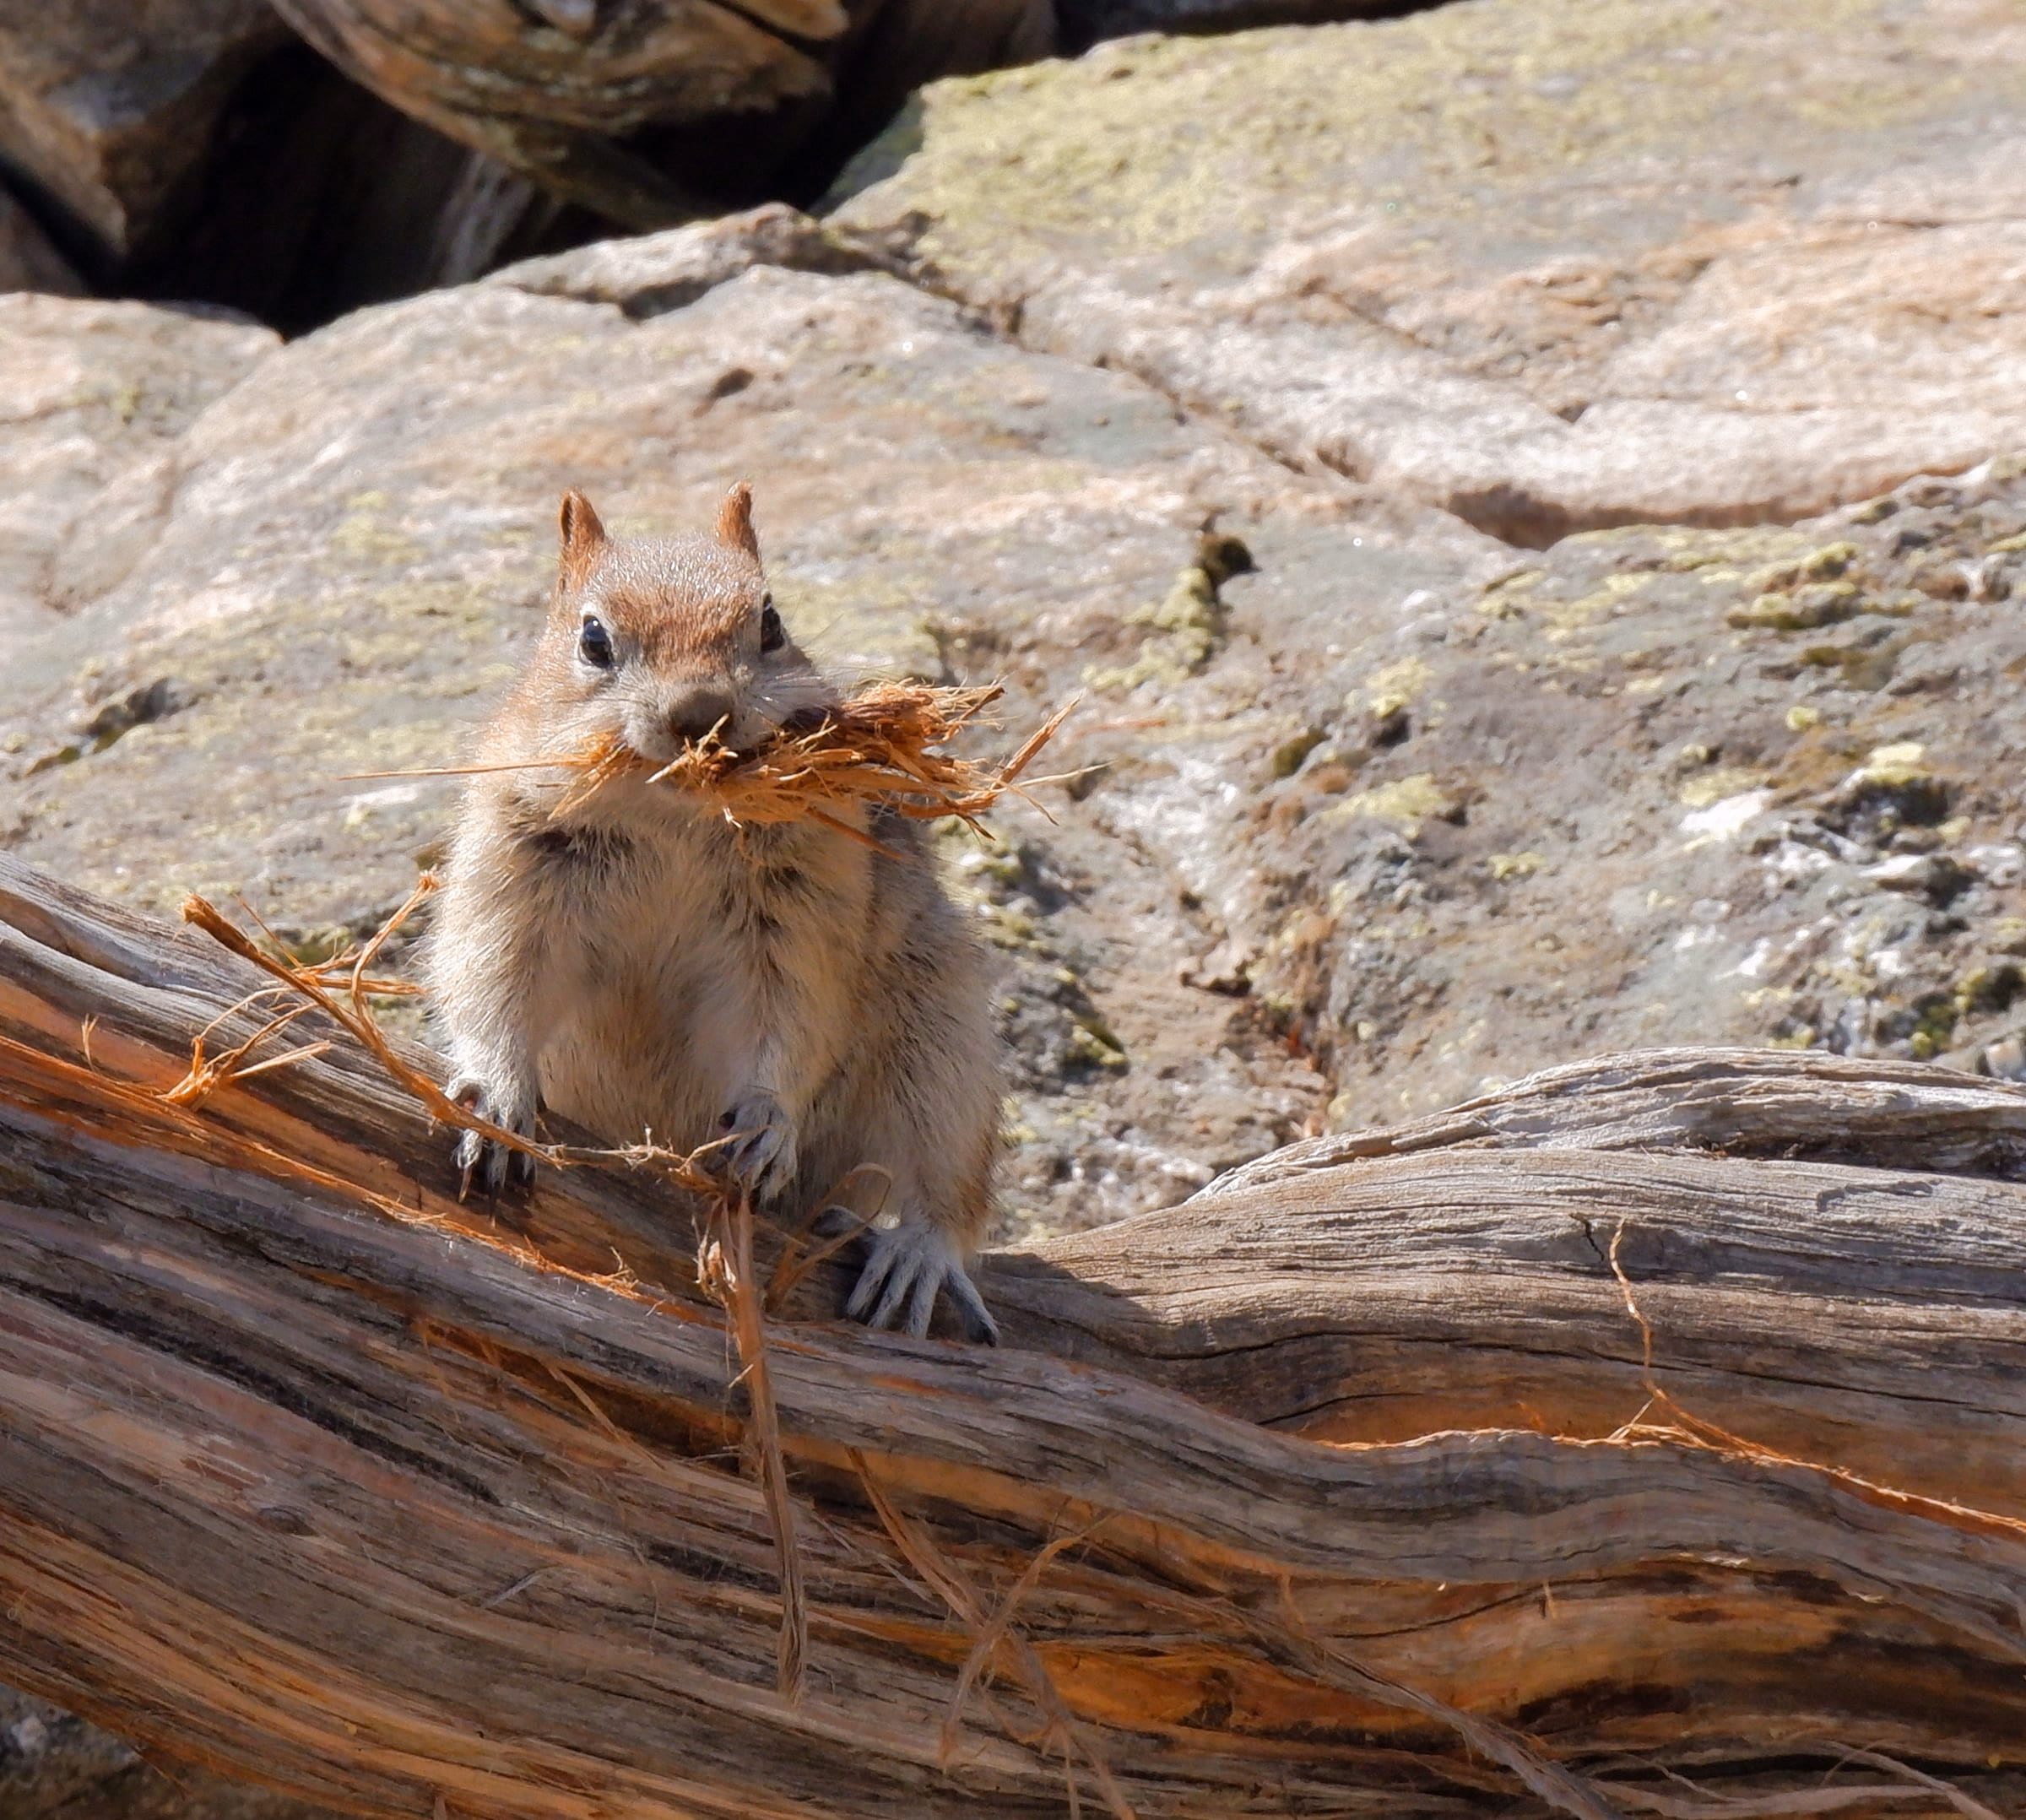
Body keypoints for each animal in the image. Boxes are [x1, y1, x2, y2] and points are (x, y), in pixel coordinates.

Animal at [422, 484, 1003, 1343]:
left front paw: (765, 1124)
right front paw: (494, 1097)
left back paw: (915, 1258)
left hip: (945, 1044)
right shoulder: (515, 879)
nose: (702, 711)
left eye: (771, 623)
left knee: (942, 1187)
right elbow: (495, 987)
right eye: (592, 639)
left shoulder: (795, 918)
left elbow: (787, 1022)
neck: (676, 818)